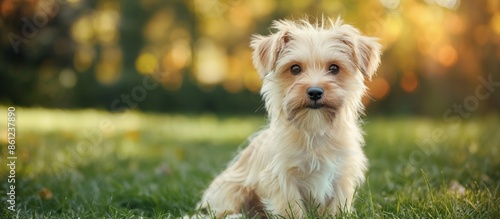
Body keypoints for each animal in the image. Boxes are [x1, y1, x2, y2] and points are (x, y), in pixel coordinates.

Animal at [194, 16, 378, 217]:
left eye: (334, 68)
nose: (315, 92)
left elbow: (337, 207)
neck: (314, 130)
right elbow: (293, 209)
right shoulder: (283, 177)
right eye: (295, 68)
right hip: (232, 190)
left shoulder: (342, 175)